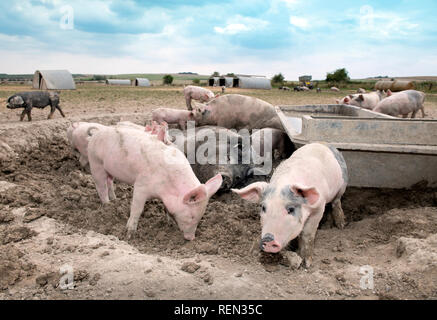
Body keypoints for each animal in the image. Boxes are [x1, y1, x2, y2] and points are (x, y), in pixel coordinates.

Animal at [86, 125, 221, 240]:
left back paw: (115, 200)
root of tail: (96, 133)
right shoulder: (141, 185)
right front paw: (129, 234)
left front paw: (170, 224)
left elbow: (167, 209)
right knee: (101, 187)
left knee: (109, 182)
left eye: (201, 216)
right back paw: (107, 205)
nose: (191, 238)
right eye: (192, 216)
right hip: (95, 162)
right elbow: (137, 209)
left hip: (108, 170)